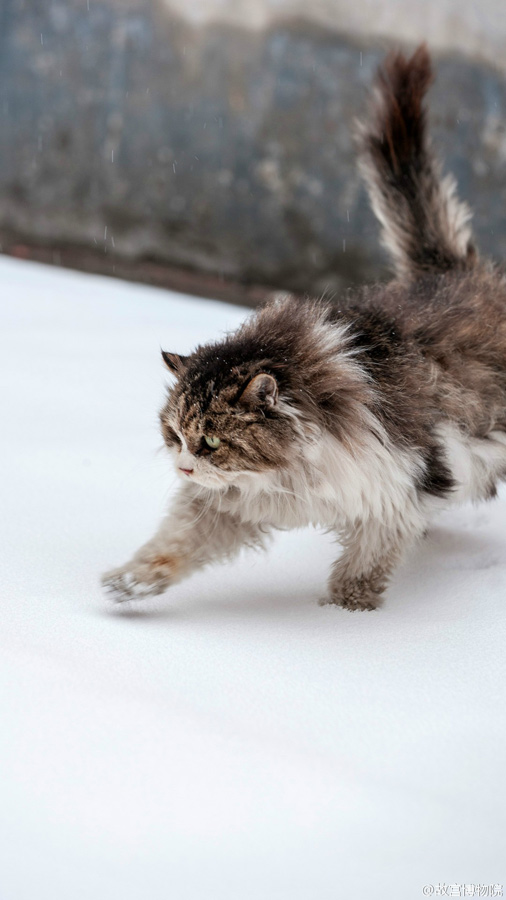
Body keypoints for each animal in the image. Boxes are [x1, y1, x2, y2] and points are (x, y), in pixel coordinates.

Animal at [101, 44, 506, 612]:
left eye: (211, 442)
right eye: (173, 435)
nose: (183, 468)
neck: (291, 471)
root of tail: (450, 269)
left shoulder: (396, 491)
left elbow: (362, 568)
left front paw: (344, 620)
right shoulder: (229, 502)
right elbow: (176, 543)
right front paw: (132, 583)